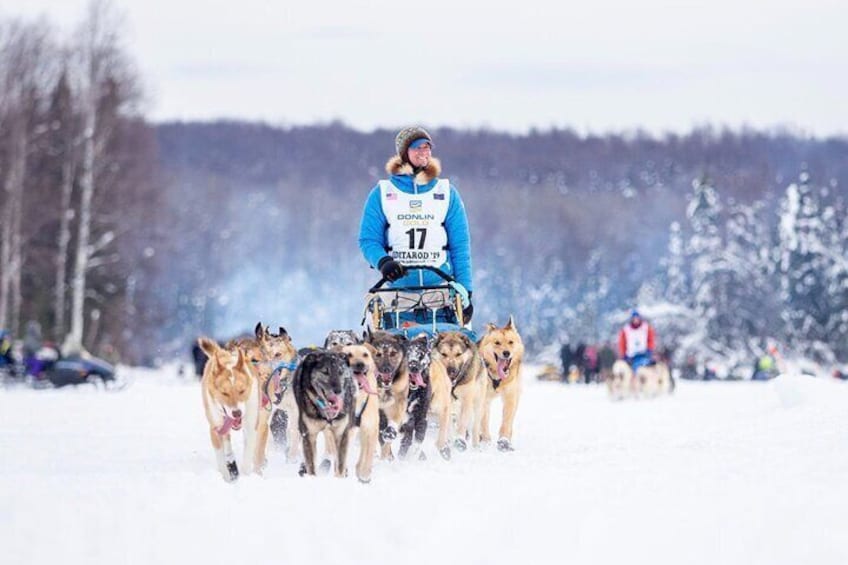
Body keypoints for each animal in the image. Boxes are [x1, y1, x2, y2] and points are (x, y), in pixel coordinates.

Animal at [198, 334, 258, 480]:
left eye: (241, 391)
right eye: (224, 393)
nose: (237, 413)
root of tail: (220, 352)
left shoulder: (251, 424)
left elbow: (248, 452)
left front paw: (246, 475)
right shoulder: (215, 427)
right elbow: (220, 457)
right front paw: (226, 478)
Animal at [340, 342, 380, 482]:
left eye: (365, 355)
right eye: (348, 355)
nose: (360, 364)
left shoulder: (370, 428)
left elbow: (367, 456)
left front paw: (364, 474)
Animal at [430, 330, 484, 458]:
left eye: (458, 354)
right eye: (444, 354)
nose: (451, 370)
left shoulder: (466, 400)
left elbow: (462, 423)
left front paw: (460, 440)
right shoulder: (446, 403)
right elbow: (448, 425)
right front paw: (449, 441)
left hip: (477, 405)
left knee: (475, 426)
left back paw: (475, 446)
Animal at [476, 316, 524, 452]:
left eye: (511, 342)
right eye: (497, 343)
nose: (506, 353)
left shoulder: (510, 397)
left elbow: (506, 422)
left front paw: (504, 442)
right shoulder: (484, 398)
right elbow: (483, 421)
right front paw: (486, 441)